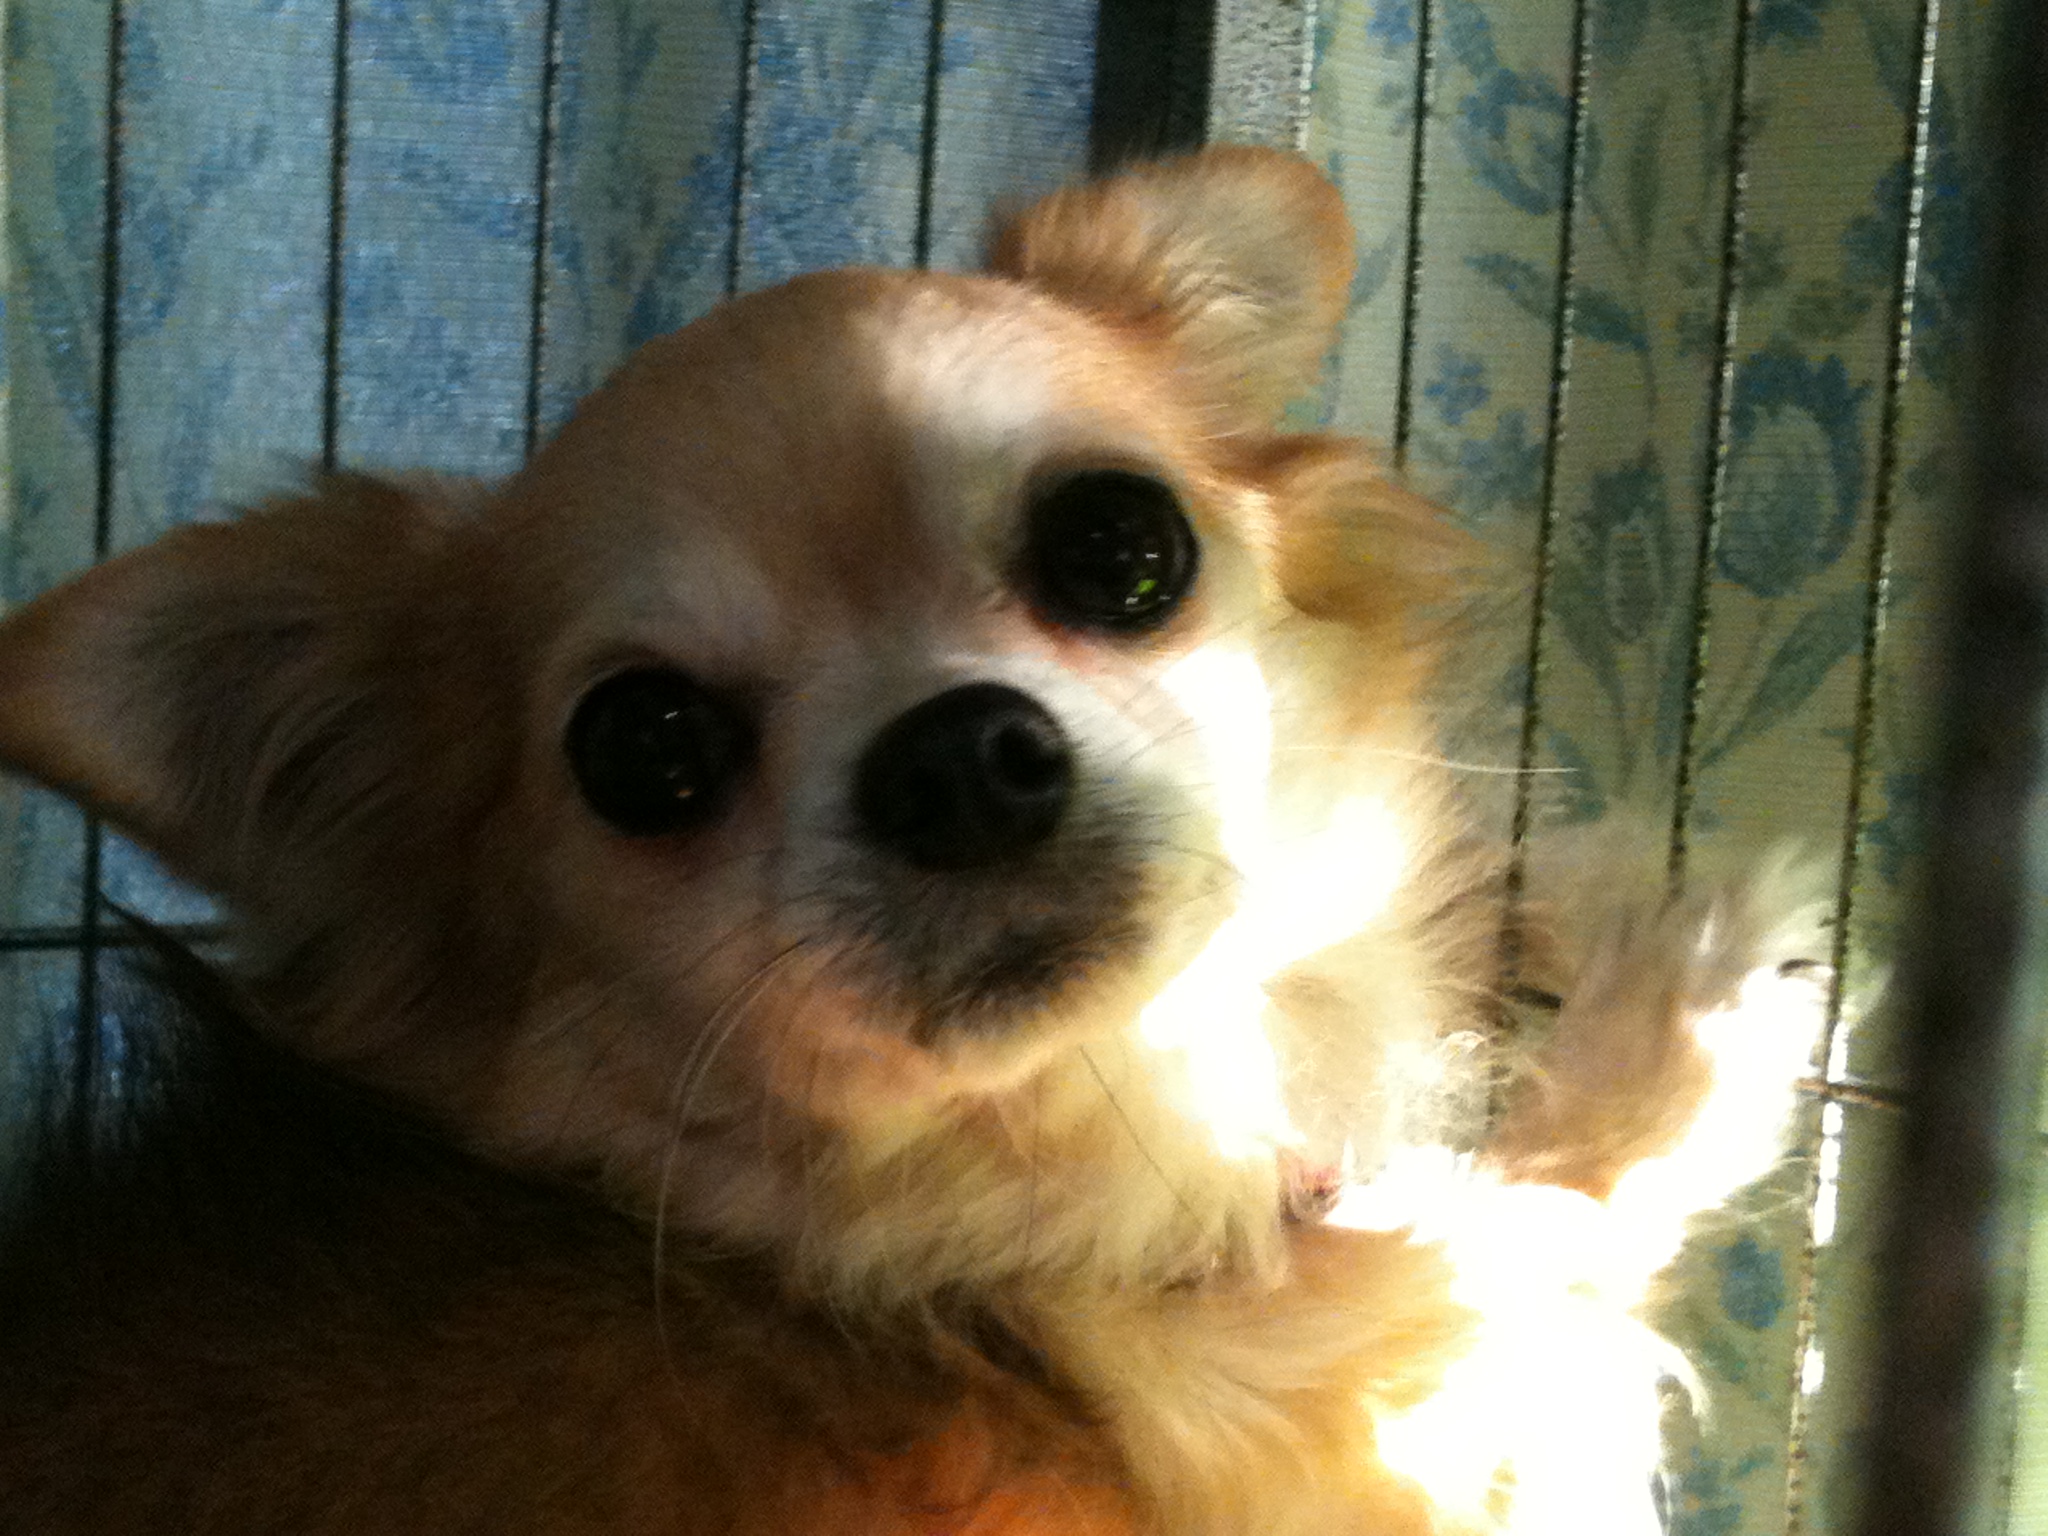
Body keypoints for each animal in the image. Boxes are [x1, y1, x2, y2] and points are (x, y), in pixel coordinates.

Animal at [0, 147, 1825, 1534]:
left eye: (1119, 545)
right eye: (643, 748)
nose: (954, 761)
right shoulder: (1382, 1423)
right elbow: (1541, 1225)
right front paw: (1695, 996)